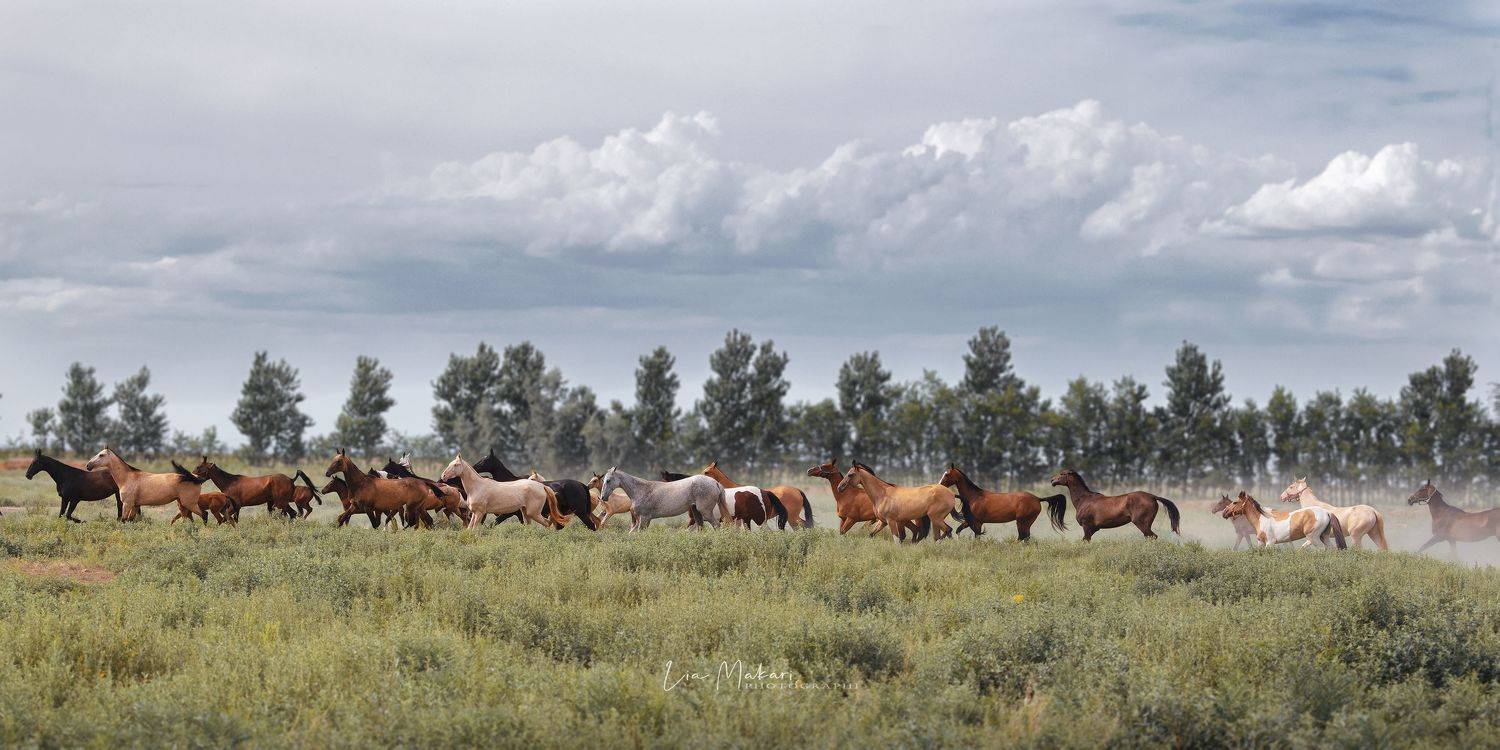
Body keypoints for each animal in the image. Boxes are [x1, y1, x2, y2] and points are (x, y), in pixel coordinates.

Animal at [596, 468, 727, 531]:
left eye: (608, 480)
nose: (603, 497)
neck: (640, 490)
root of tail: (715, 483)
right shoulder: (645, 520)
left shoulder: (644, 519)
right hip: (696, 512)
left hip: (705, 511)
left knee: (716, 526)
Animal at [1049, 469, 1180, 540]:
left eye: (1062, 474)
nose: (1052, 480)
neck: (1084, 500)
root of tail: (1152, 496)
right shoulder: (1093, 529)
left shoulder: (1087, 526)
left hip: (1141, 523)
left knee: (1152, 537)